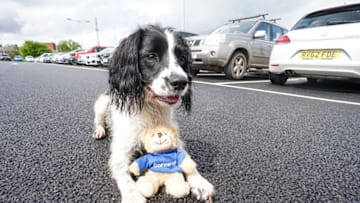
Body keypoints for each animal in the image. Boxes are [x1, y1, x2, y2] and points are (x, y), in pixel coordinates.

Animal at [93, 24, 214, 202]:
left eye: (181, 57)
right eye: (151, 56)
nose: (181, 82)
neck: (151, 109)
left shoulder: (174, 140)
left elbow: (187, 160)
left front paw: (200, 183)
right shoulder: (121, 150)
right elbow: (123, 173)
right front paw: (133, 196)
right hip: (101, 103)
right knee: (99, 120)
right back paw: (100, 131)